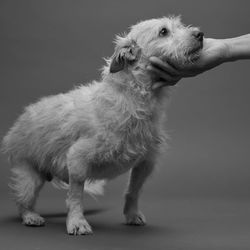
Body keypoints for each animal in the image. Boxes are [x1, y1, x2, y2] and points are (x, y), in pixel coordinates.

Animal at [1, 16, 203, 235]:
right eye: (163, 31)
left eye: (180, 26)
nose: (200, 34)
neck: (133, 99)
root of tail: (17, 123)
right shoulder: (77, 160)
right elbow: (75, 196)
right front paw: (77, 222)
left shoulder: (146, 163)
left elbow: (133, 191)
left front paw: (131, 214)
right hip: (28, 177)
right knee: (23, 201)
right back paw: (31, 216)